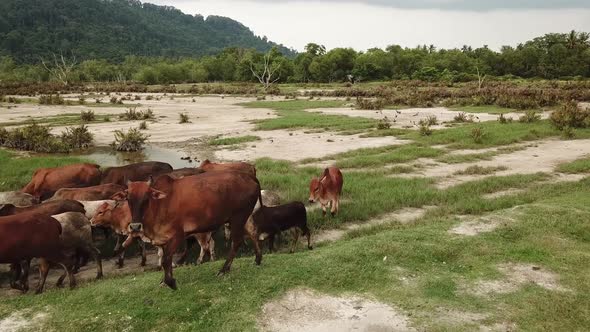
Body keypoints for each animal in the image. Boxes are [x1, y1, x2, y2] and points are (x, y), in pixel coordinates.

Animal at [114, 172, 262, 290]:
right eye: (128, 199)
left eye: (146, 198)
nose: (135, 227)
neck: (159, 206)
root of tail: (249, 176)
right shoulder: (163, 240)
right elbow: (165, 261)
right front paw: (164, 281)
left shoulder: (178, 235)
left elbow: (166, 260)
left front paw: (171, 282)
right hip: (243, 218)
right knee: (252, 233)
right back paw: (258, 259)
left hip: (238, 217)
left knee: (236, 241)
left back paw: (224, 270)